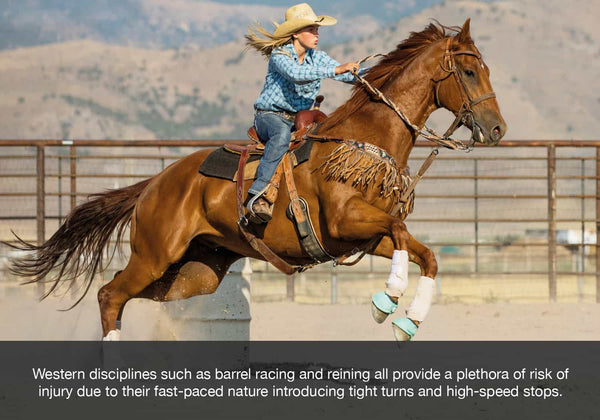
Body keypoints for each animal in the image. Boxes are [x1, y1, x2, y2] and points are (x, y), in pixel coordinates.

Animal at [8, 20, 506, 342]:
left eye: (485, 68)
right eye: (468, 71)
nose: (498, 129)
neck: (365, 139)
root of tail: (153, 184)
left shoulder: (364, 237)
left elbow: (427, 255)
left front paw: (406, 320)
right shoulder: (347, 223)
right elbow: (403, 233)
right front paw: (387, 299)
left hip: (193, 272)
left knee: (122, 295)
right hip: (154, 254)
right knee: (110, 295)